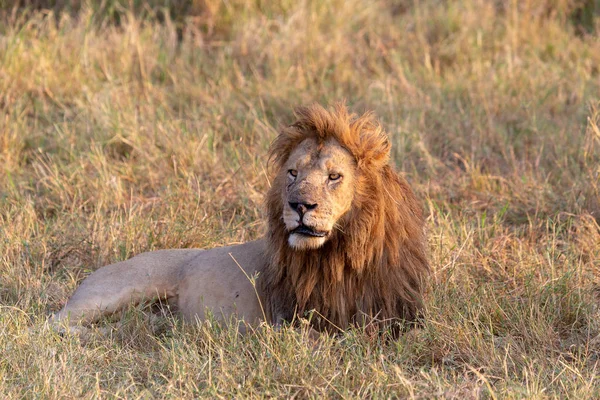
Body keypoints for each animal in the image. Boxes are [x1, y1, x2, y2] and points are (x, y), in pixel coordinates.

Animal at [51, 103, 426, 334]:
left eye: (334, 176)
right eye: (292, 173)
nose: (300, 205)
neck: (342, 254)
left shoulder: (400, 312)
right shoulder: (293, 320)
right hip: (113, 291)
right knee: (54, 324)